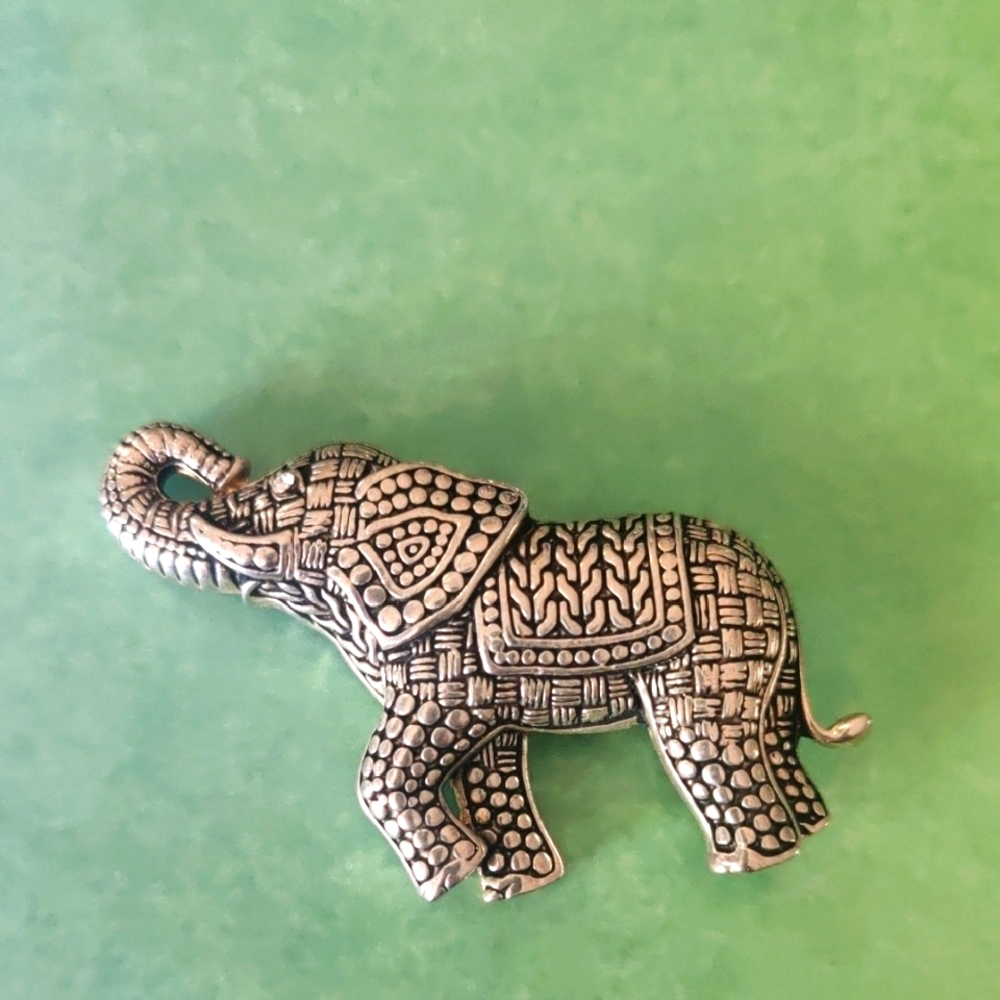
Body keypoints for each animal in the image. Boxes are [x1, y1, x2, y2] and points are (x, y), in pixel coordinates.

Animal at [101, 422, 870, 902]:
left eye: (287, 486)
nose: (218, 465)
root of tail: (773, 580)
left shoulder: (448, 662)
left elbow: (388, 764)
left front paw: (449, 878)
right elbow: (487, 764)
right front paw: (513, 885)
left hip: (710, 656)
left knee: (704, 743)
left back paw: (746, 864)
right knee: (771, 738)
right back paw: (812, 829)